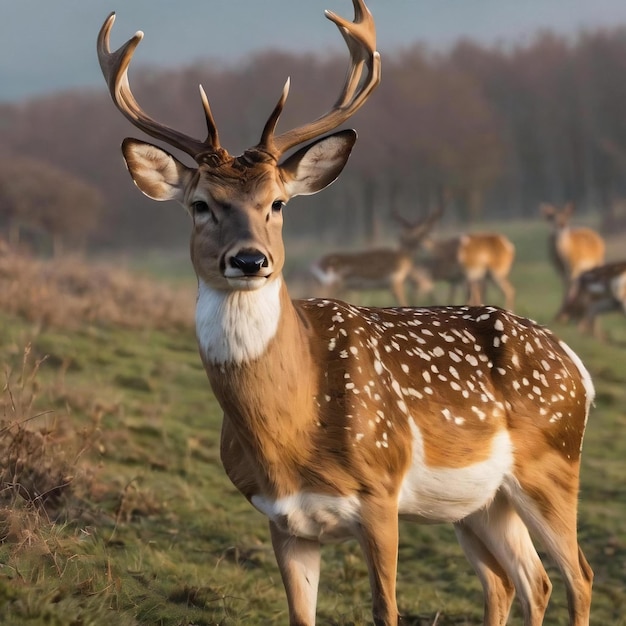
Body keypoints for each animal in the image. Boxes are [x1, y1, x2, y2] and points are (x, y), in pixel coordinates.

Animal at [97, 2, 588, 620]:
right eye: (200, 205)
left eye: (278, 203)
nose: (250, 259)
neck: (293, 431)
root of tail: (576, 364)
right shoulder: (283, 519)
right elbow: (299, 613)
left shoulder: (381, 490)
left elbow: (386, 609)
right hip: (480, 502)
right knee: (521, 580)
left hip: (552, 463)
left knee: (577, 576)